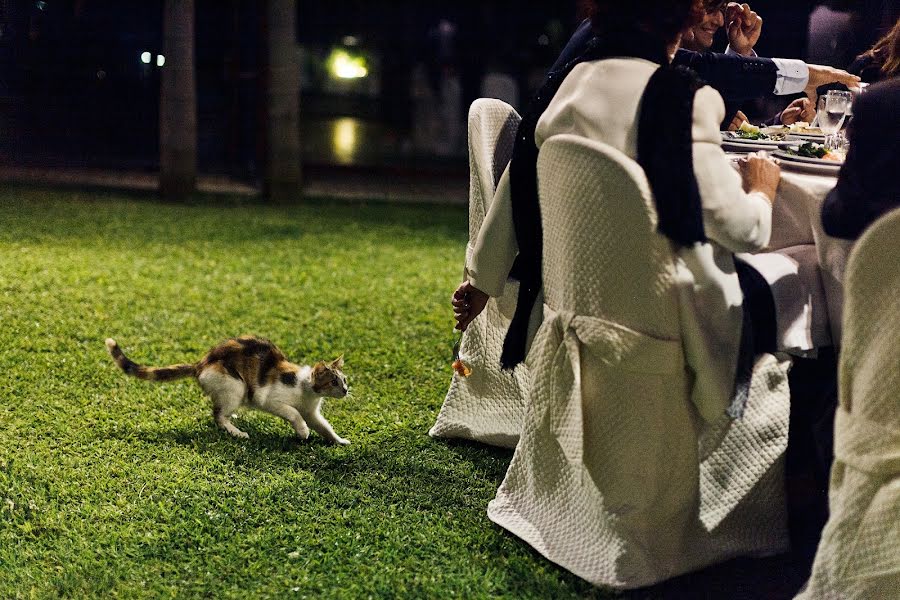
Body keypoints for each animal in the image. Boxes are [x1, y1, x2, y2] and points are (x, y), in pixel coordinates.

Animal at [102, 338, 348, 446]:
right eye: (333, 382)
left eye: (344, 380)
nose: (346, 390)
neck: (308, 391)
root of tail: (201, 364)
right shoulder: (268, 399)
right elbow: (294, 413)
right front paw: (303, 432)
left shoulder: (312, 412)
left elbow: (324, 427)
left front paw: (339, 441)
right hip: (236, 385)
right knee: (218, 416)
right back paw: (237, 432)